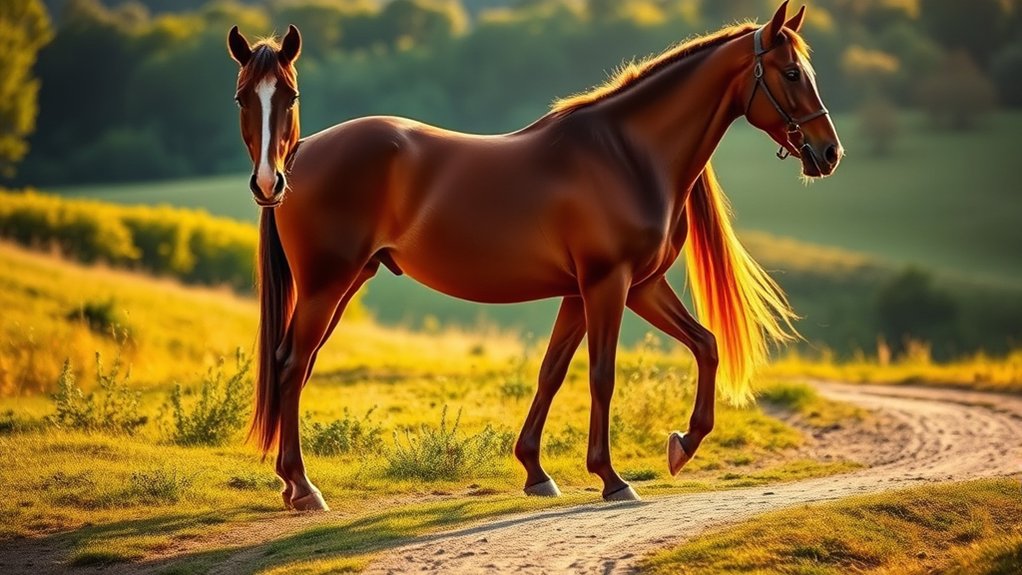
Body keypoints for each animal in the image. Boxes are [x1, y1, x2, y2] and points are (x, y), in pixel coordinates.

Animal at [227, 0, 842, 511]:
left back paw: (292, 484)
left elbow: (621, 360)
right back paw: (303, 488)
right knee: (292, 364)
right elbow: (601, 375)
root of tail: (293, 156)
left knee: (296, 363)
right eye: (791, 73)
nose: (829, 152)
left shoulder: (617, 287)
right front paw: (612, 478)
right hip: (327, 284)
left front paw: (654, 450)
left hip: (343, 283)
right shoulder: (610, 284)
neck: (625, 155)